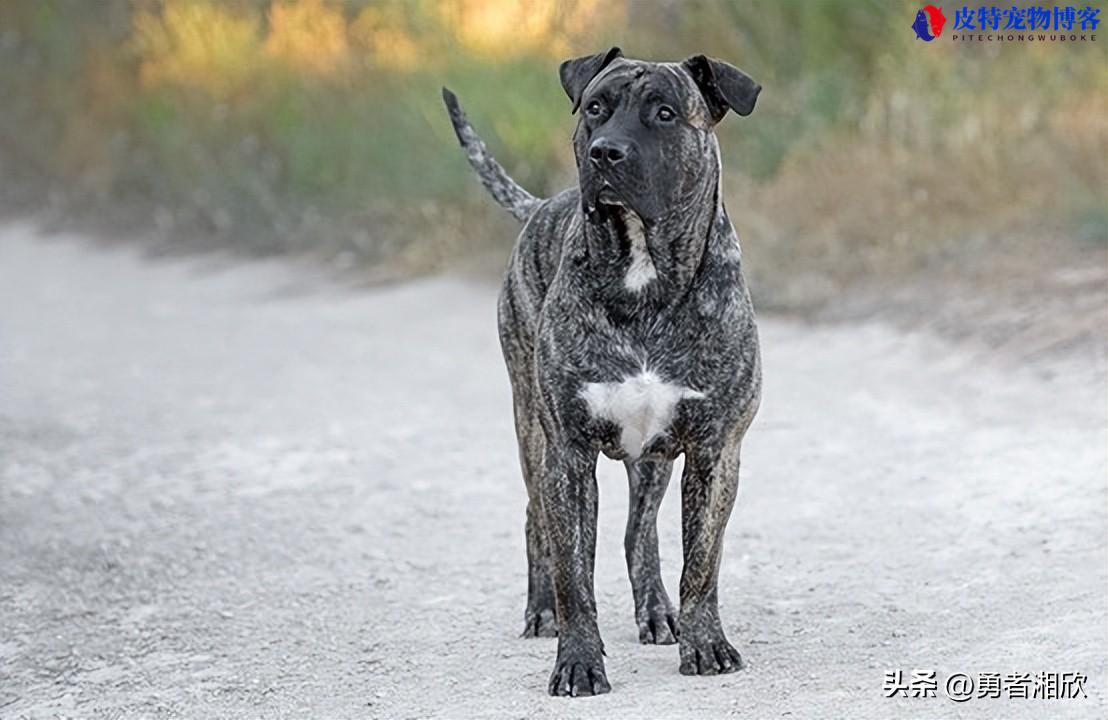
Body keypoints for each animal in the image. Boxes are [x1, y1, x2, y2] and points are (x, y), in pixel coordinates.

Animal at [440, 46, 762, 695]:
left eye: (665, 113)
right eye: (595, 108)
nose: (606, 152)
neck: (644, 276)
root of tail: (541, 204)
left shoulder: (716, 450)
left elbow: (702, 562)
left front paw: (705, 643)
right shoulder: (567, 452)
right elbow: (574, 575)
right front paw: (579, 661)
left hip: (652, 461)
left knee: (640, 533)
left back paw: (657, 612)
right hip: (531, 431)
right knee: (537, 520)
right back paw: (540, 611)